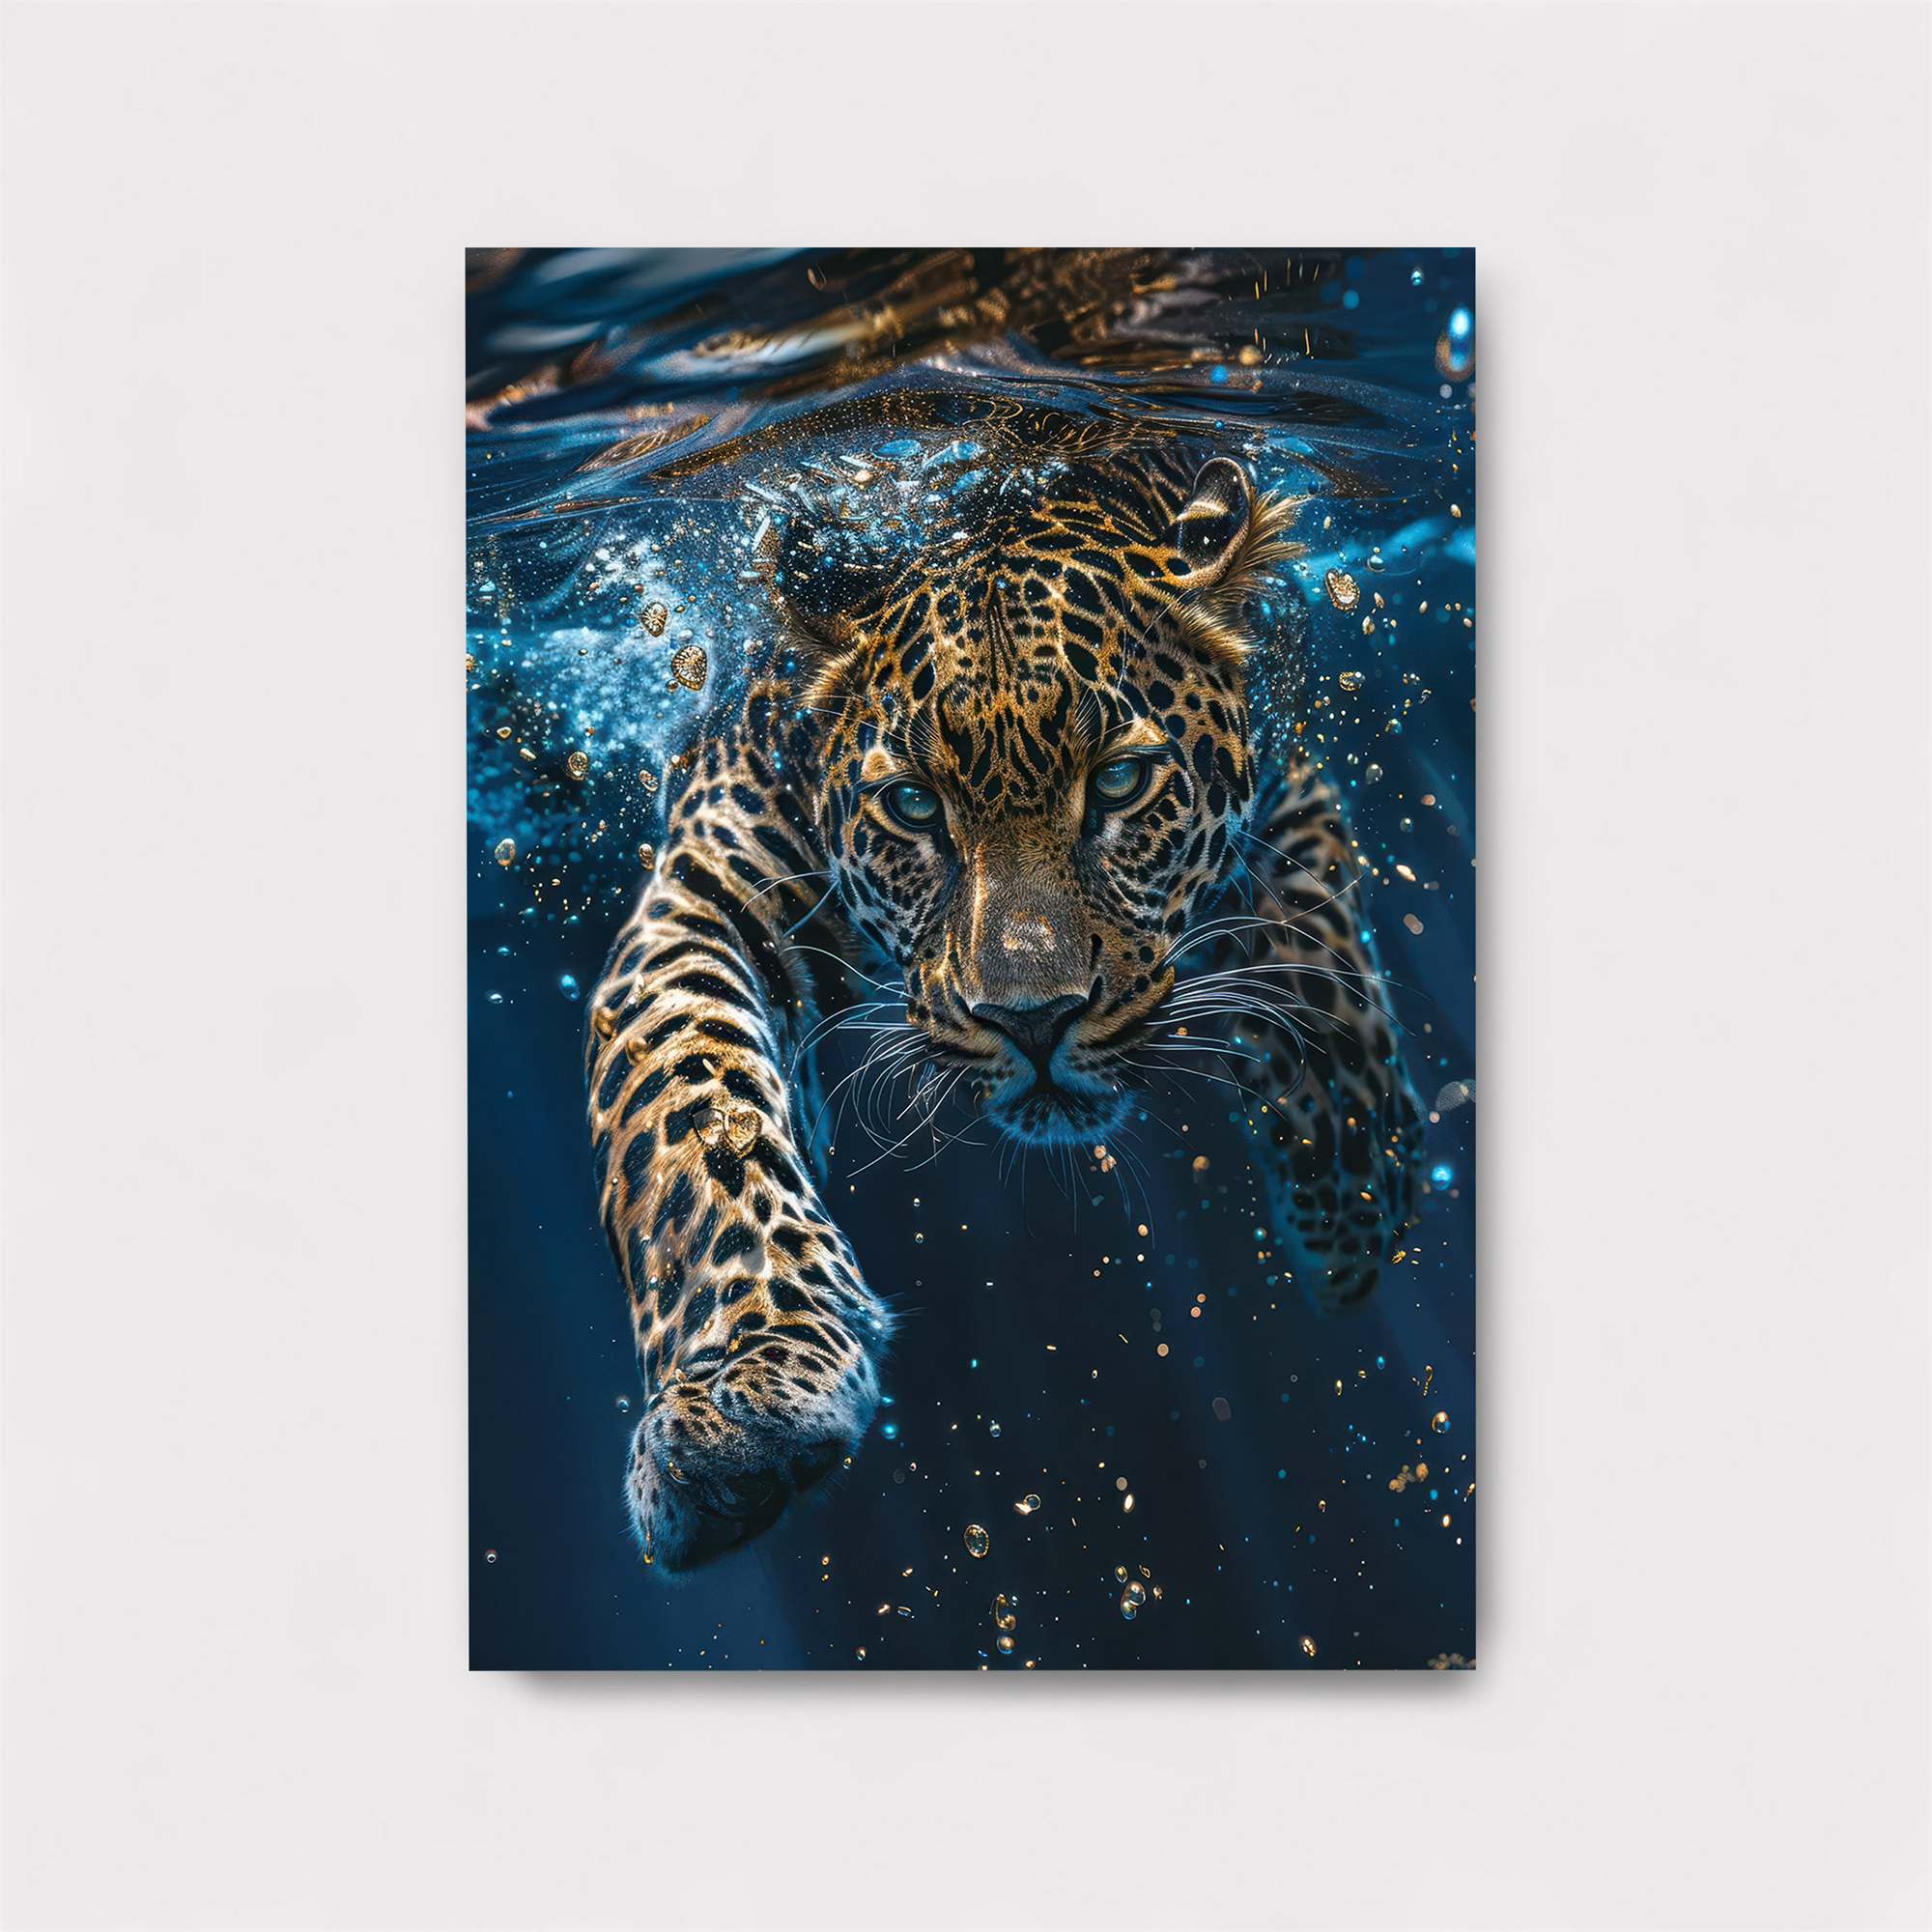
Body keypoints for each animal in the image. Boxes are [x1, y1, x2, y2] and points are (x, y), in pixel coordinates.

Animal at [583, 440, 1422, 1573]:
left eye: (1118, 783)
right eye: (912, 805)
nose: (1032, 1019)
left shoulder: (1285, 734)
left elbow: (1315, 937)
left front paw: (1350, 1199)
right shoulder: (706, 888)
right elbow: (684, 1104)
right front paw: (740, 1398)